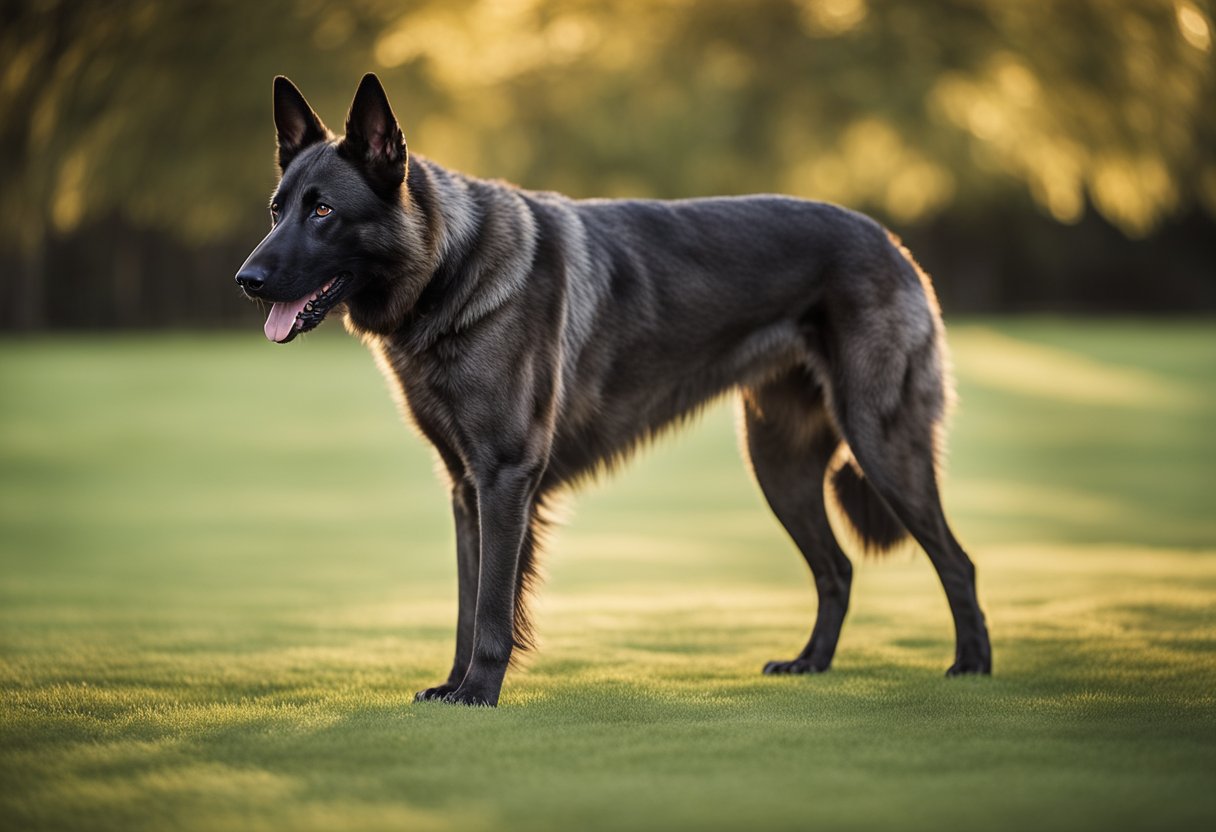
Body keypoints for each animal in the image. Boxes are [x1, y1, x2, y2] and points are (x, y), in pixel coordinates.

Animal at [234, 74, 987, 705]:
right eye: (276, 210)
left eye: (323, 211)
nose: (246, 280)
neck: (451, 269)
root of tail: (891, 242)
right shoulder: (465, 487)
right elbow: (466, 602)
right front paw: (452, 686)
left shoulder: (503, 478)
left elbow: (490, 607)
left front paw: (477, 693)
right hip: (779, 465)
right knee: (838, 570)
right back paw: (812, 663)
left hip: (882, 447)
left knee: (958, 561)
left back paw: (971, 667)